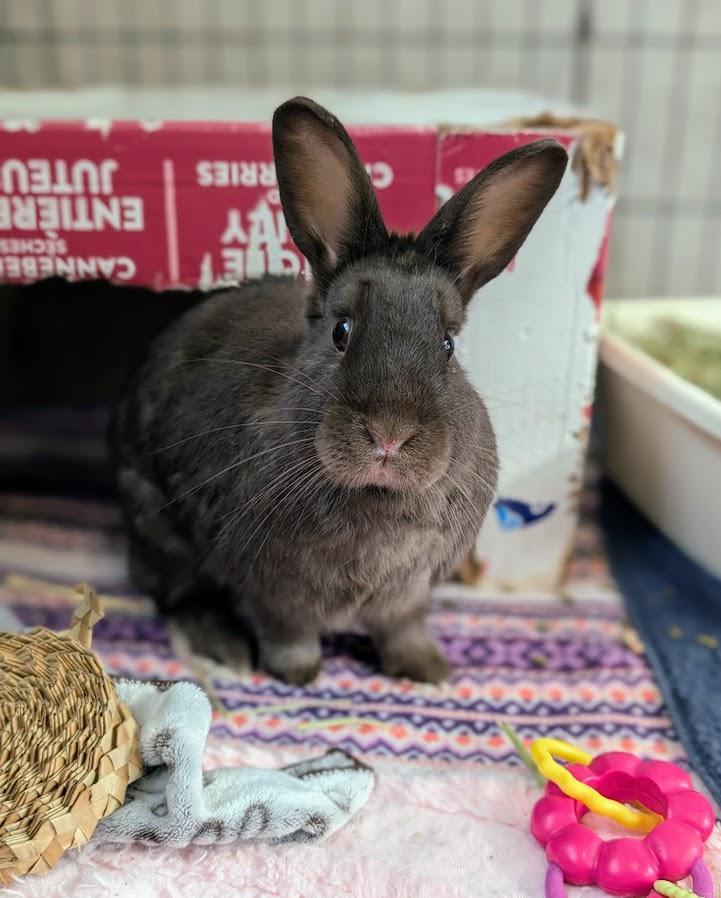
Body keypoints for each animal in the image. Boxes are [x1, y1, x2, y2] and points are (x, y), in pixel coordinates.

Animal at [110, 97, 567, 685]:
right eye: (341, 331)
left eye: (447, 344)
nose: (390, 436)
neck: (378, 495)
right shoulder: (274, 592)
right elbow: (289, 633)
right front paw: (299, 675)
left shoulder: (409, 596)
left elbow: (404, 628)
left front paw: (428, 670)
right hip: (160, 528)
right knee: (178, 594)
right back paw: (223, 648)